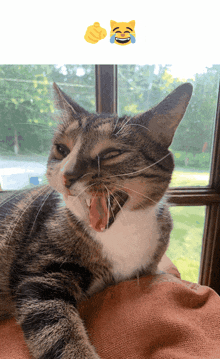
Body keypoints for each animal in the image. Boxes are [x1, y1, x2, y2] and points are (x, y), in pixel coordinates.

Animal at [0, 82, 192, 359]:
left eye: (112, 152)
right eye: (62, 149)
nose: (67, 175)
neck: (121, 231)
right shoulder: (39, 277)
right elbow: (59, 336)